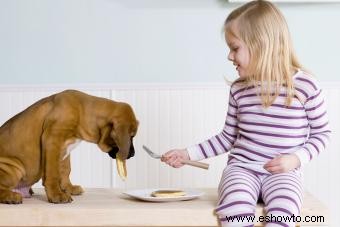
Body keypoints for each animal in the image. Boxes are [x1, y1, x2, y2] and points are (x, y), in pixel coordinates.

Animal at [0, 90, 138, 204]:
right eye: (131, 136)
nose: (133, 154)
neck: (82, 111)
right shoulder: (52, 140)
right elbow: (52, 172)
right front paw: (56, 194)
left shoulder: (65, 150)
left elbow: (65, 170)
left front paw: (68, 188)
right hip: (14, 168)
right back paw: (11, 196)